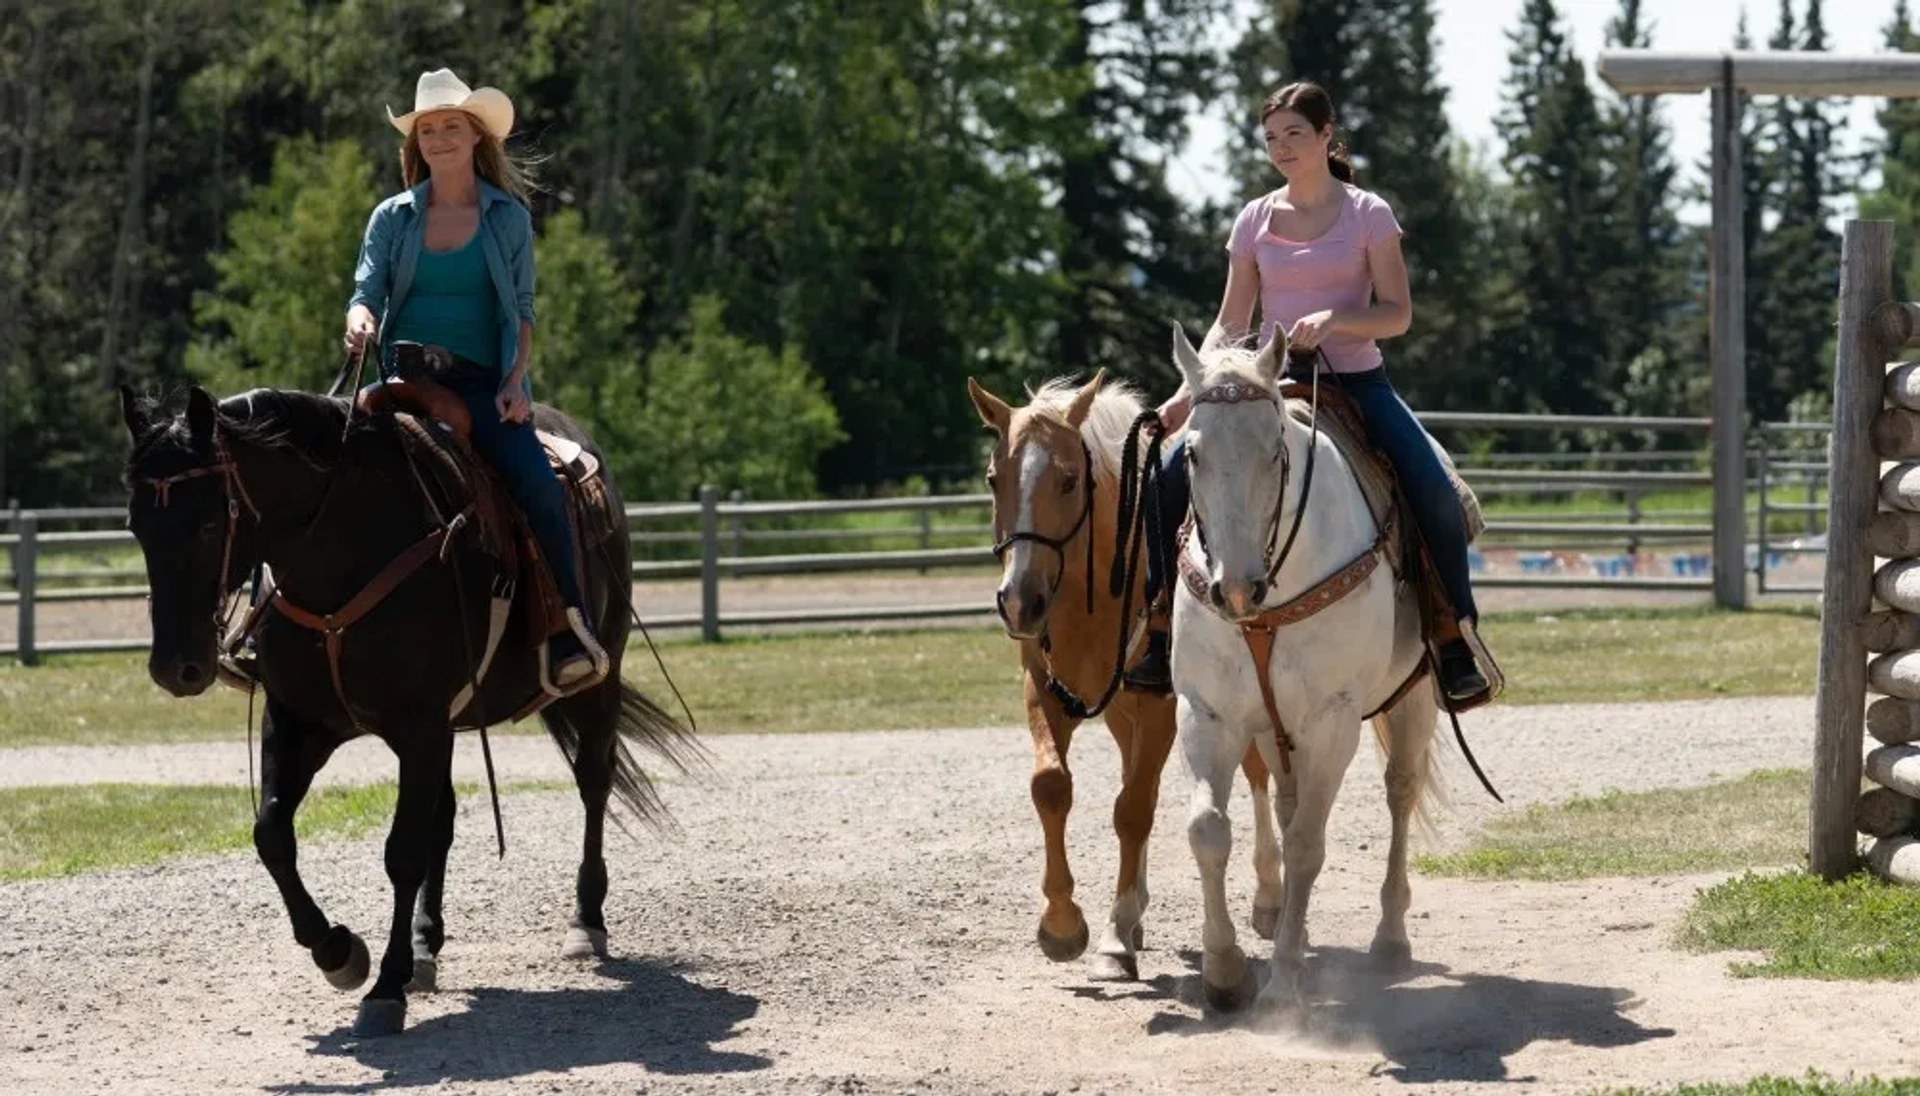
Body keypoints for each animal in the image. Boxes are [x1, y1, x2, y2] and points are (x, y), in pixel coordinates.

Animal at [118, 385, 706, 1036]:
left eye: (205, 523)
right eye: (136, 525)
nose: (176, 667)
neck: (346, 553)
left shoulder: (419, 727)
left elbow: (401, 852)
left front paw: (384, 987)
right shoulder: (300, 722)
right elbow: (273, 835)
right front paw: (340, 952)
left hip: (598, 681)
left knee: (593, 784)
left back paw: (585, 922)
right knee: (442, 821)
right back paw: (427, 945)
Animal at [967, 372, 1282, 982]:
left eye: (1068, 480)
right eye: (994, 478)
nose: (1018, 602)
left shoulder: (1163, 705)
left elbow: (1132, 810)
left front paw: (1113, 938)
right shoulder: (1045, 691)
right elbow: (1053, 787)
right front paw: (1064, 924)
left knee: (1254, 774)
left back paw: (1268, 898)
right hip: (1121, 710)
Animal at [1159, 330, 1443, 1013]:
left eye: (1276, 453)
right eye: (1193, 454)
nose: (1236, 588)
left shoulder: (1331, 721)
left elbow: (1310, 844)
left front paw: (1284, 980)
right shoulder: (1209, 714)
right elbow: (1209, 830)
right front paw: (1225, 971)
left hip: (1414, 695)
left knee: (1400, 791)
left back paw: (1389, 938)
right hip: (1272, 726)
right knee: (1287, 807)